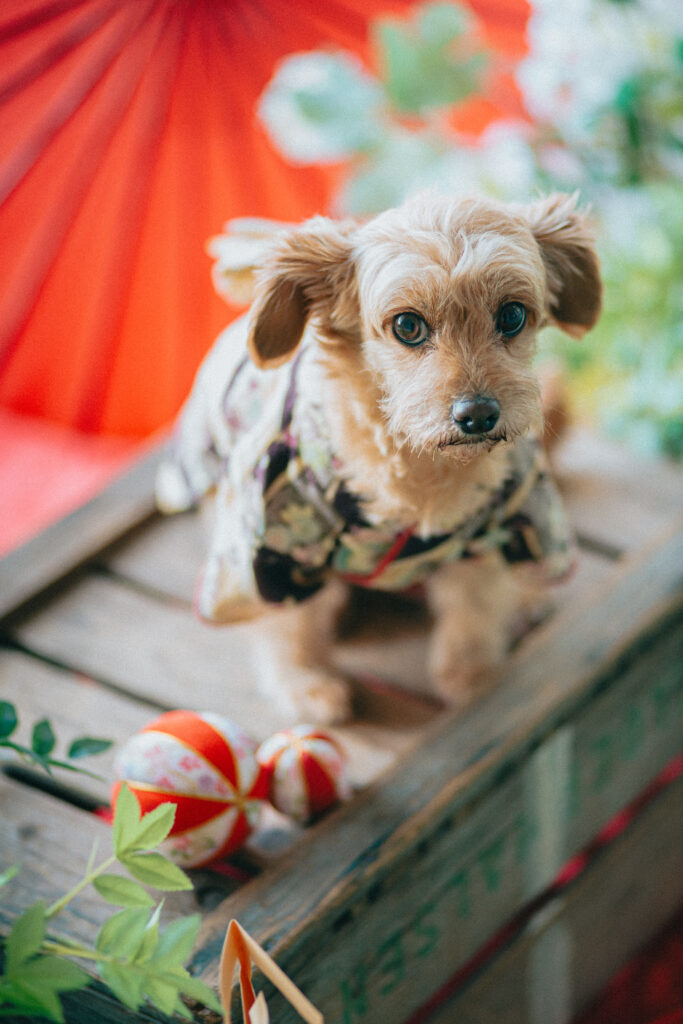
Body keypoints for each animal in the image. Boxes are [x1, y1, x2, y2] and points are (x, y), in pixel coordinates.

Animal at [157, 190, 602, 720]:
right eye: (407, 325)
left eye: (512, 315)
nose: (477, 414)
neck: (423, 475)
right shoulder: (267, 551)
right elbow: (289, 629)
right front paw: (306, 685)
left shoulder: (505, 522)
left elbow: (474, 607)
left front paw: (471, 673)